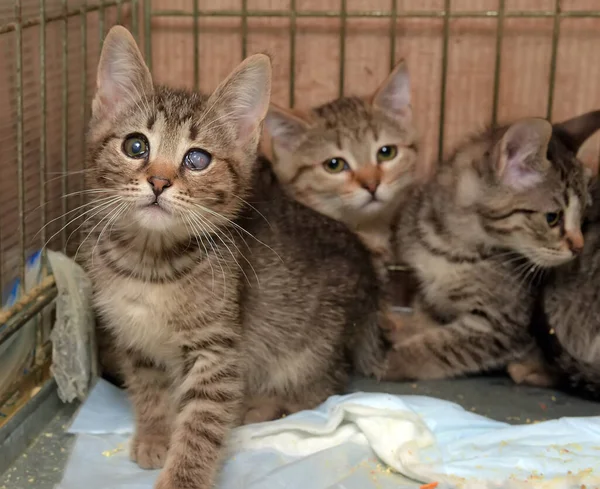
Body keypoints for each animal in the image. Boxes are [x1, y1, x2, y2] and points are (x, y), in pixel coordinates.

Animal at [382, 114, 596, 382]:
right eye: (553, 218)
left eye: (584, 218)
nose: (578, 246)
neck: (451, 246)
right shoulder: (427, 289)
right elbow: (425, 315)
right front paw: (405, 326)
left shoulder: (502, 325)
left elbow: (444, 347)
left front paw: (393, 361)